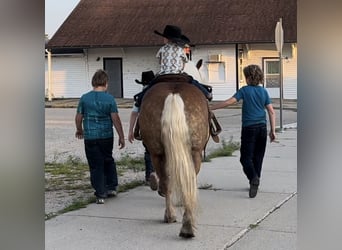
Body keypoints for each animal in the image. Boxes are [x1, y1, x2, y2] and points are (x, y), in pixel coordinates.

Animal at [138, 61, 210, 238]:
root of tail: (173, 94)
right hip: (194, 152)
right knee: (187, 179)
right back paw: (184, 224)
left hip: (156, 152)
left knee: (166, 179)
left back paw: (175, 217)